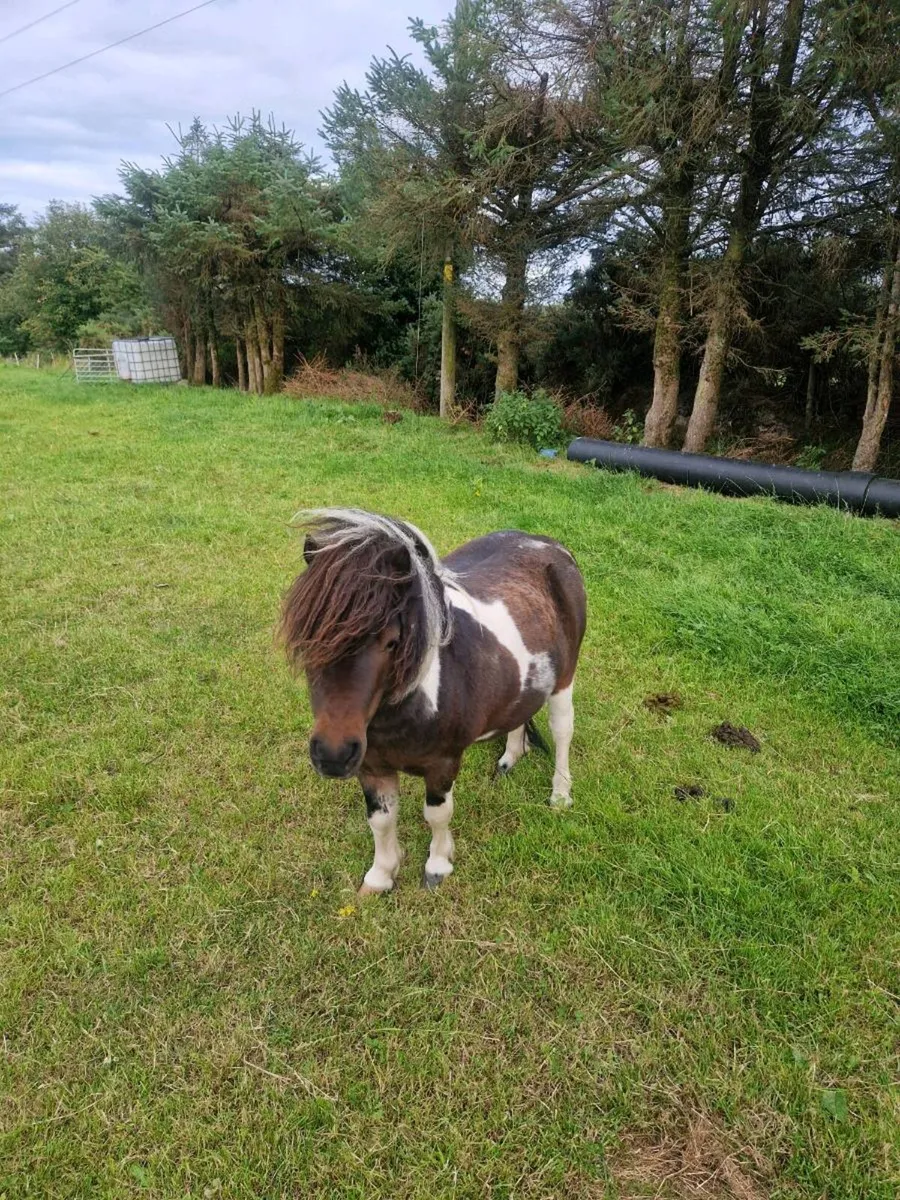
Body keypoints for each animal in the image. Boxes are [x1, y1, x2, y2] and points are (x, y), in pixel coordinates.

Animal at [279, 508, 587, 895]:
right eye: (307, 637)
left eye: (392, 642)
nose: (333, 755)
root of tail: (550, 545)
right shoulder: (371, 766)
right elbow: (381, 820)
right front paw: (380, 877)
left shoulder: (443, 763)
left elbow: (437, 814)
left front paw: (437, 867)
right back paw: (510, 758)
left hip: (564, 681)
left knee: (562, 731)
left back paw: (560, 795)